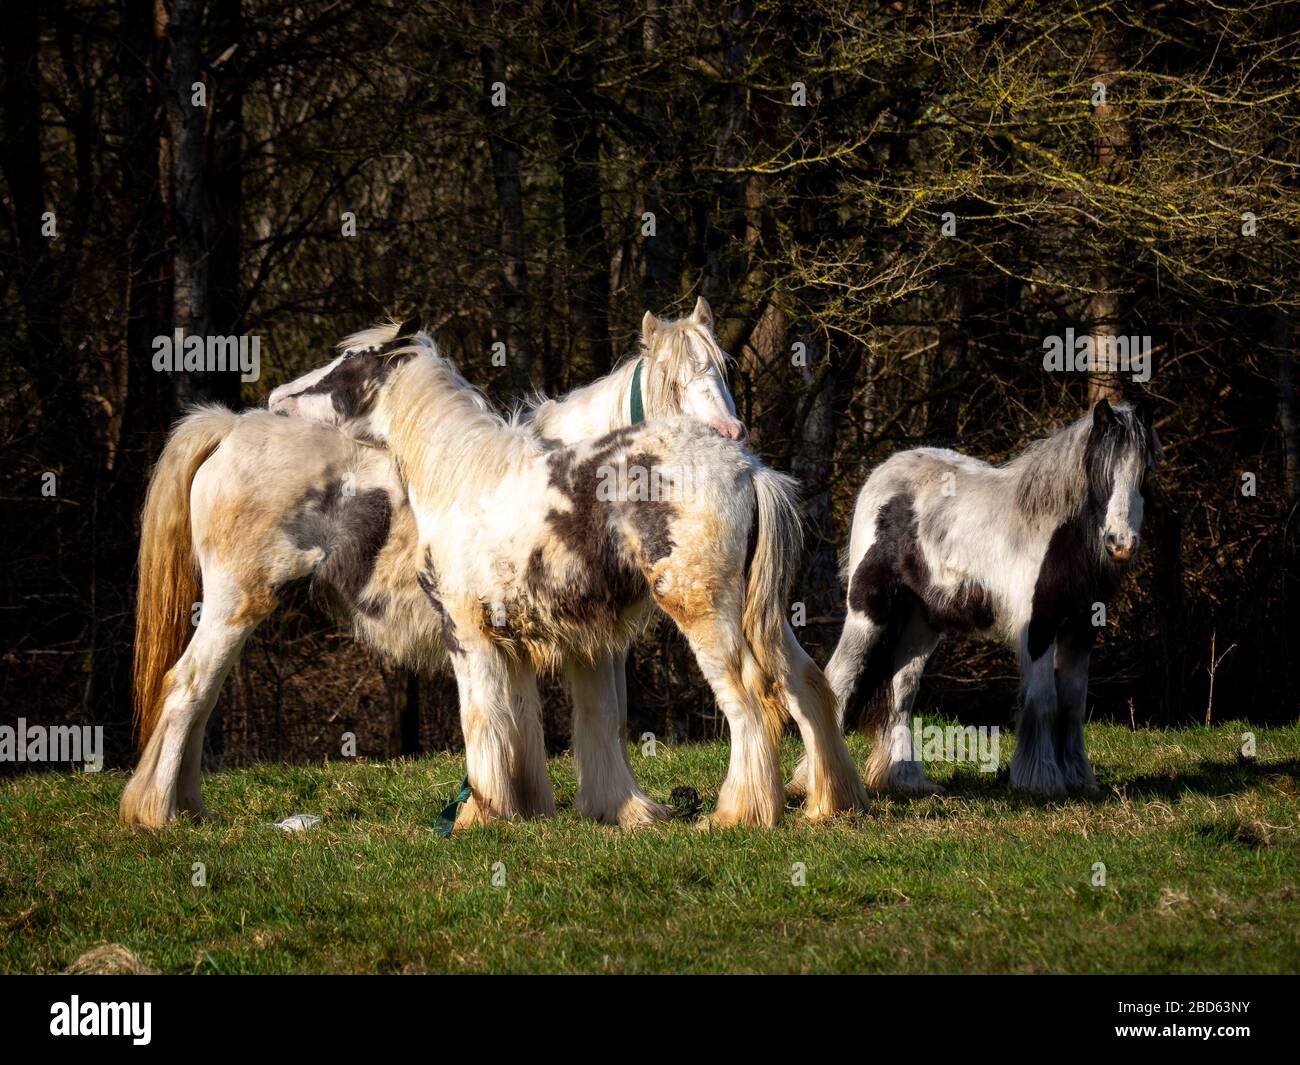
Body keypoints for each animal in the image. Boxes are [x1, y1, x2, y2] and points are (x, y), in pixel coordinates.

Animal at [120, 322, 867, 831]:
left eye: (347, 363)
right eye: (682, 377)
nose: (277, 392)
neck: (462, 472)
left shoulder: (491, 637)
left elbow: (497, 721)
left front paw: (489, 813)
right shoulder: (540, 642)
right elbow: (527, 724)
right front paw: (538, 809)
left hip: (711, 613)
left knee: (757, 699)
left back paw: (742, 813)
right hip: (236, 605)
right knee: (192, 692)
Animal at [792, 398, 1160, 799]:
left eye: (1145, 472)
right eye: (1102, 473)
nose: (1120, 543)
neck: (1055, 533)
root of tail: (881, 475)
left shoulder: (1081, 629)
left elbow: (1073, 703)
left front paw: (1079, 778)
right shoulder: (1038, 627)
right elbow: (1045, 700)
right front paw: (1041, 781)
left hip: (921, 622)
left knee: (901, 692)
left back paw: (905, 779)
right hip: (868, 612)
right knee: (840, 680)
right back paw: (814, 781)